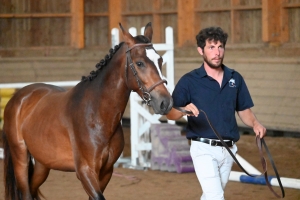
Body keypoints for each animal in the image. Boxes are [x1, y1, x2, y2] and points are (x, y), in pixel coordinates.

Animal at [2, 22, 172, 200]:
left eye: (160, 60)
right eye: (139, 63)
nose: (165, 102)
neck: (97, 113)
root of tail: (18, 97)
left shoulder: (106, 171)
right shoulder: (85, 171)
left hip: (43, 163)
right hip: (20, 157)